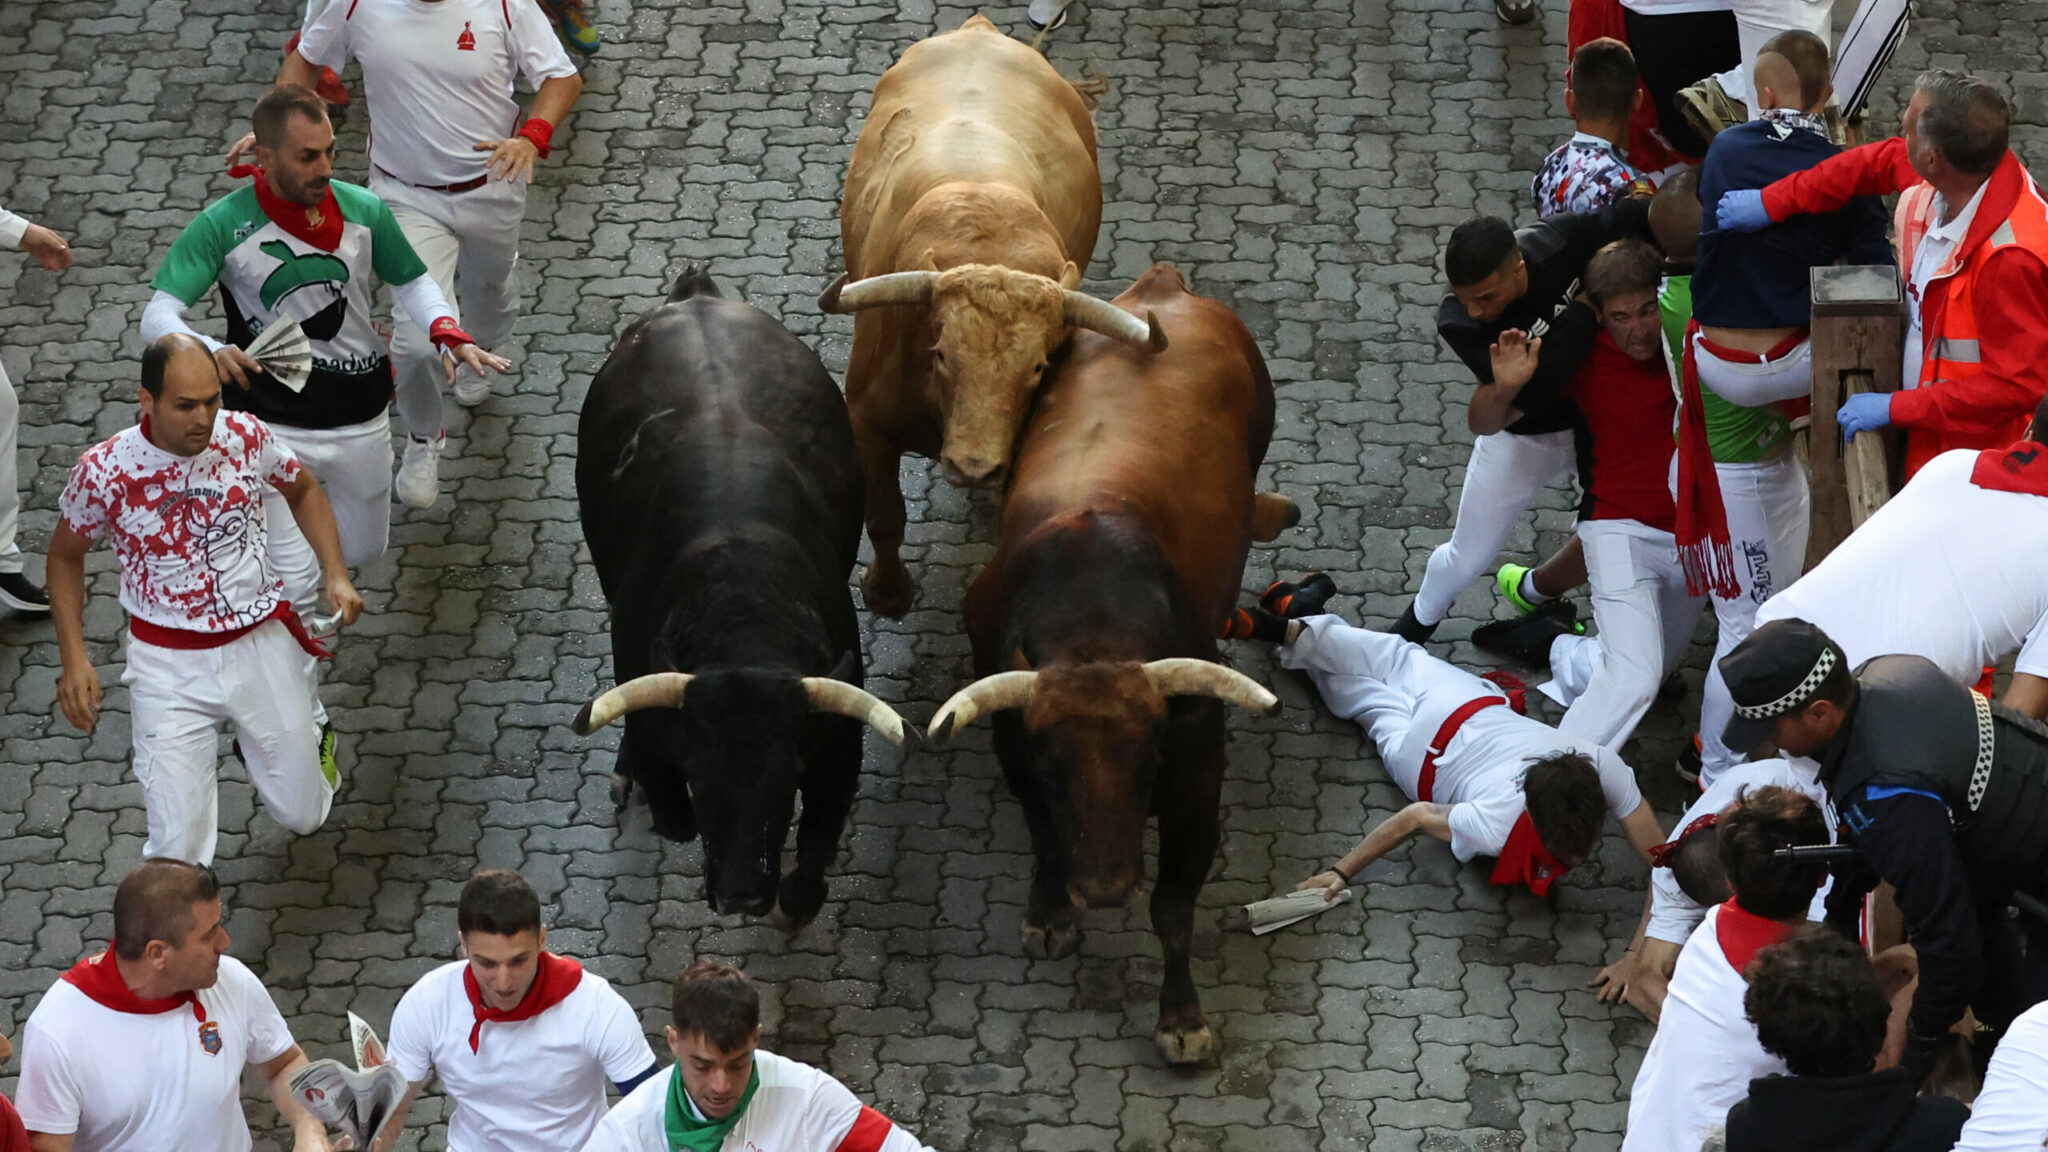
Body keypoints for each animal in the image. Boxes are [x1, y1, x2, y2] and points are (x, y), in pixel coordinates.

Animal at [573, 264, 901, 918]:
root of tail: (697, 294)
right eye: (701, 781)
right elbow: (671, 805)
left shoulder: (836, 750)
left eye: (785, 783)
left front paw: (797, 898)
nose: (742, 894)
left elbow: (818, 842)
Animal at [823, 11, 1163, 619]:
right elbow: (884, 518)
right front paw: (887, 593)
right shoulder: (865, 416)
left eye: (1038, 367)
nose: (974, 468)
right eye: (940, 354)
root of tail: (979, 30)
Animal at [929, 264, 1294, 1065]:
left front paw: (1181, 1017)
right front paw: (1051, 912)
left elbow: (1172, 910)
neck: (1092, 625)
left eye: (1148, 757)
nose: (1101, 888)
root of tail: (1163, 285)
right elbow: (1044, 839)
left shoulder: (1196, 789)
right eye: (1054, 765)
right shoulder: (1016, 757)